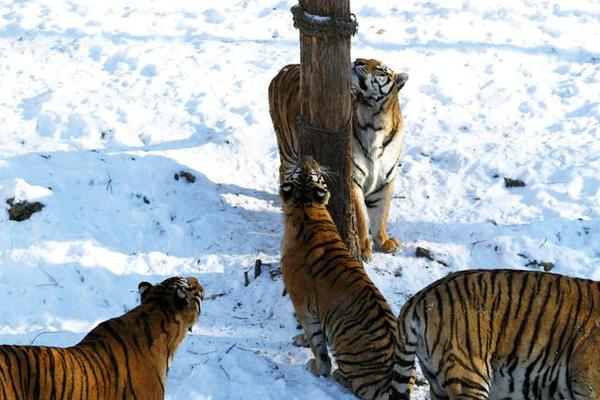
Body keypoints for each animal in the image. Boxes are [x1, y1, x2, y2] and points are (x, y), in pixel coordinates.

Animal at [270, 57, 410, 260]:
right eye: (365, 59)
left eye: (380, 69)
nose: (358, 61)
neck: (374, 121)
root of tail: (286, 67)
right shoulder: (354, 179)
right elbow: (360, 218)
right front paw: (364, 249)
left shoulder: (384, 181)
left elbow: (381, 214)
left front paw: (384, 242)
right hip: (288, 147)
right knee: (283, 171)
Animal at [280, 157, 404, 400]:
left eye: (308, 171)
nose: (310, 158)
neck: (307, 208)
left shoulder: (301, 303)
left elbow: (316, 341)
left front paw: (317, 366)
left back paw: (338, 375)